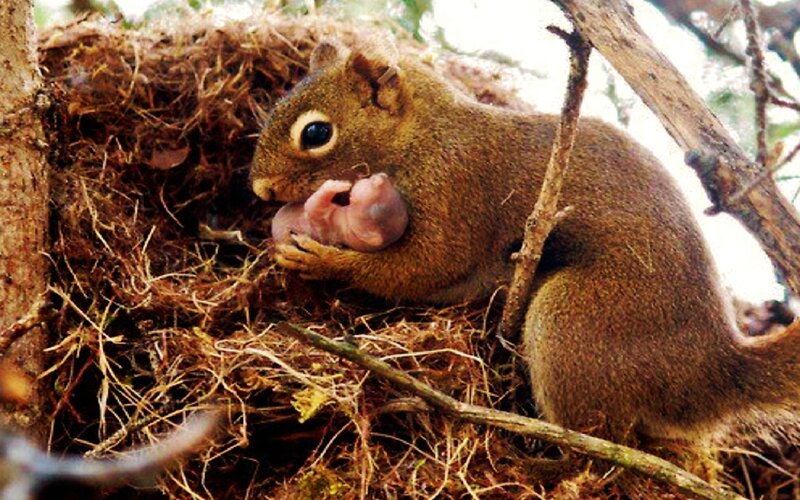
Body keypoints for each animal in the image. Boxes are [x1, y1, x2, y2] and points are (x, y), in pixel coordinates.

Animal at [250, 39, 800, 448]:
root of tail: (713, 371)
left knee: (599, 443)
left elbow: (426, 267)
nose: (260, 190)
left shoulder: (457, 188)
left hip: (574, 320)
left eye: (316, 133)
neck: (422, 136)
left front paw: (322, 259)